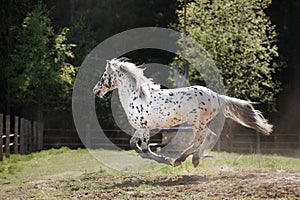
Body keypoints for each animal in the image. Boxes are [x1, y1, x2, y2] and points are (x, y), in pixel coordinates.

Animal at [93, 58, 272, 167]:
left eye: (104, 75)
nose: (95, 90)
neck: (136, 96)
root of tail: (216, 96)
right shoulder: (141, 128)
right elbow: (133, 145)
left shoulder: (144, 128)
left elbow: (145, 150)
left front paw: (166, 160)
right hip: (198, 123)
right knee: (208, 137)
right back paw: (193, 159)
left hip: (195, 122)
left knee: (205, 137)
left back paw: (182, 159)